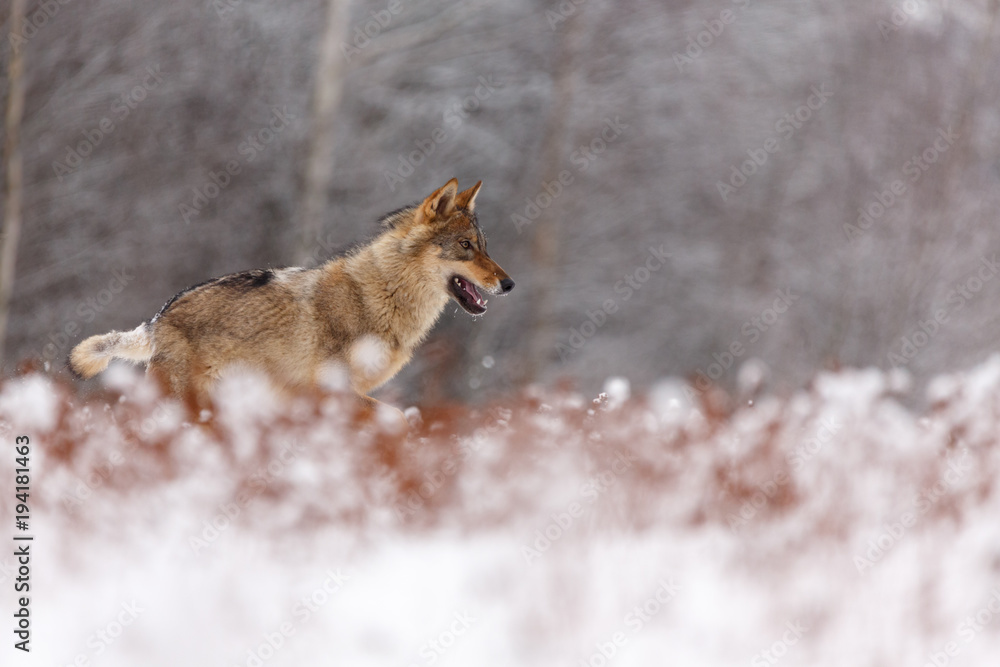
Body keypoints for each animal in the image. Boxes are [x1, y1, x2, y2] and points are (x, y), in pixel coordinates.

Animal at [69, 179, 514, 411]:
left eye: (485, 246)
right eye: (465, 246)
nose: (509, 284)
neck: (382, 294)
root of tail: (158, 317)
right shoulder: (336, 392)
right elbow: (402, 419)